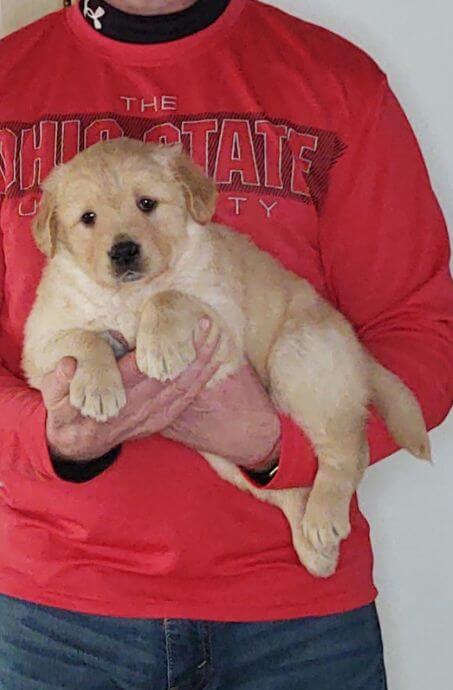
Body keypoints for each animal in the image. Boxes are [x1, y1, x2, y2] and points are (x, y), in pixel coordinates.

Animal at [23, 138, 430, 576]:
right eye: (88, 218)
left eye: (147, 203)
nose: (124, 252)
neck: (131, 295)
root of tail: (357, 349)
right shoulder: (39, 341)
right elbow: (83, 336)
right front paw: (99, 388)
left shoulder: (223, 320)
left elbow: (171, 297)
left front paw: (161, 347)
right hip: (226, 455)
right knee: (290, 486)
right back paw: (317, 550)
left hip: (300, 360)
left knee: (348, 447)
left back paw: (324, 519)